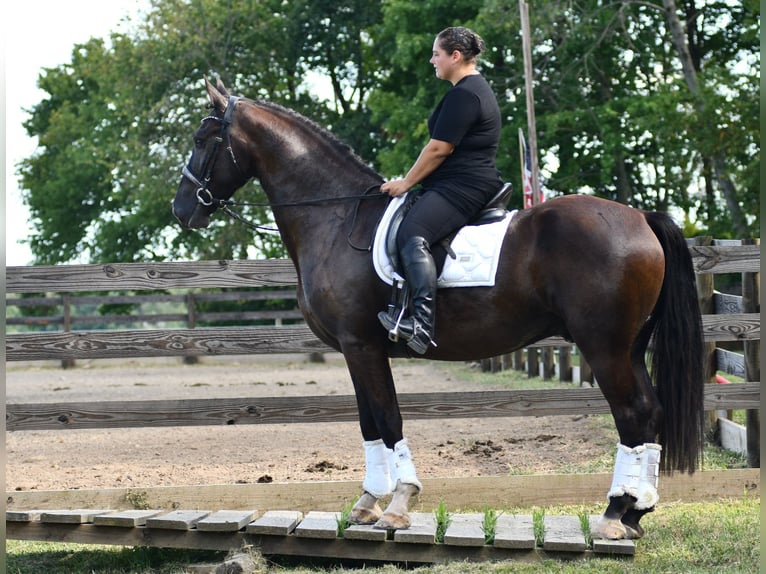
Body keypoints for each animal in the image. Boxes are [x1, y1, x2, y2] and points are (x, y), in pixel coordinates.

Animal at [174, 79, 708, 544]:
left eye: (203, 139)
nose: (182, 210)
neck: (335, 217)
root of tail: (641, 218)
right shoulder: (354, 349)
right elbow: (369, 424)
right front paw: (367, 503)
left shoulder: (362, 345)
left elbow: (389, 419)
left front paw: (398, 504)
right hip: (630, 347)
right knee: (650, 412)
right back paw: (635, 511)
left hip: (604, 347)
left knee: (633, 413)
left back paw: (616, 514)